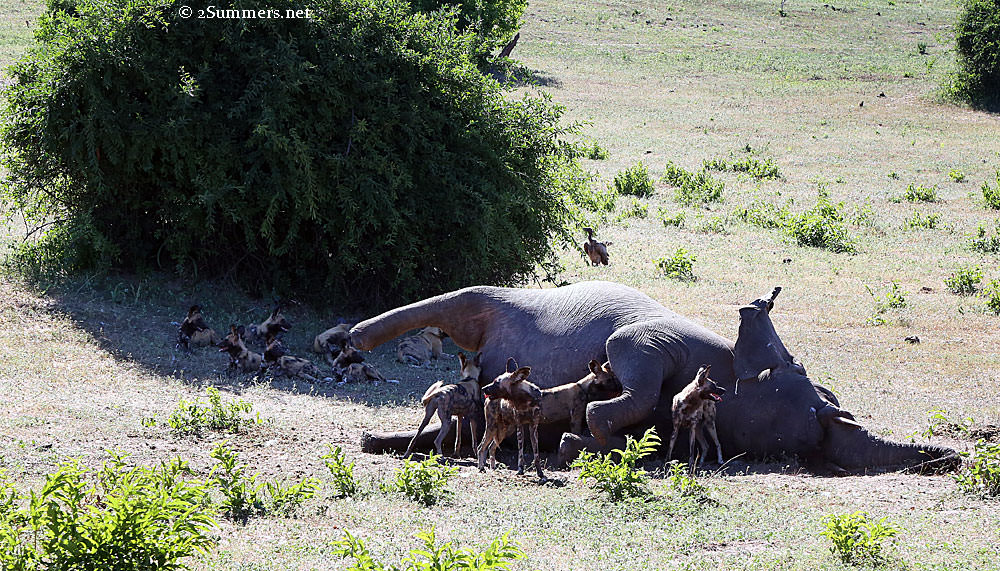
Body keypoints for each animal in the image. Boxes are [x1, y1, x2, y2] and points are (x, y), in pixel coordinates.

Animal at [349, 281, 958, 474]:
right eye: (802, 372)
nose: (953, 456)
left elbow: (622, 415)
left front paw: (581, 440)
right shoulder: (654, 340)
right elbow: (627, 354)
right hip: (503, 303)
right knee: (460, 303)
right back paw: (354, 340)